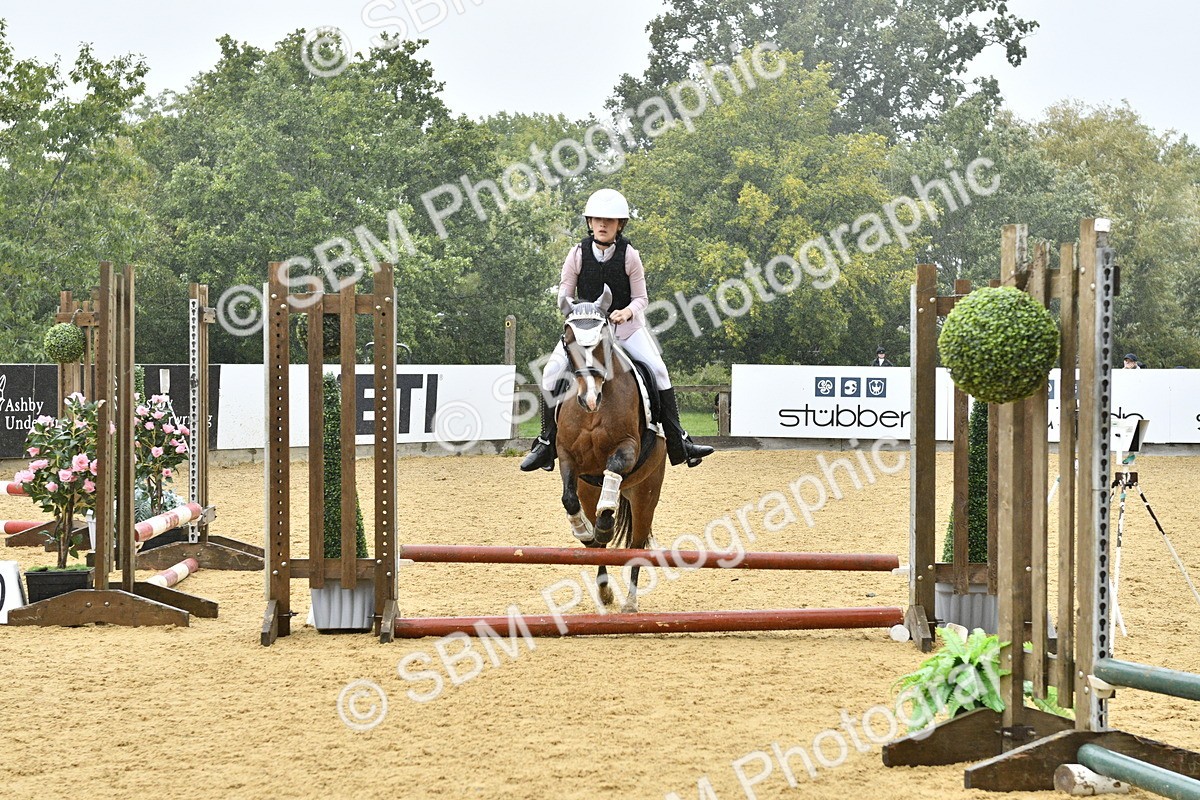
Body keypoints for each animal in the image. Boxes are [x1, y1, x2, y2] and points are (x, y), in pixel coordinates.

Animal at [555, 286, 666, 613]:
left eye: (603, 339)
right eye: (567, 339)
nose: (590, 399)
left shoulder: (628, 448)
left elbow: (613, 468)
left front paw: (606, 519)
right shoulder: (566, 455)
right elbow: (568, 498)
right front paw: (582, 530)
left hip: (646, 493)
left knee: (637, 545)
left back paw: (630, 603)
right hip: (588, 489)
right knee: (600, 548)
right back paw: (604, 591)